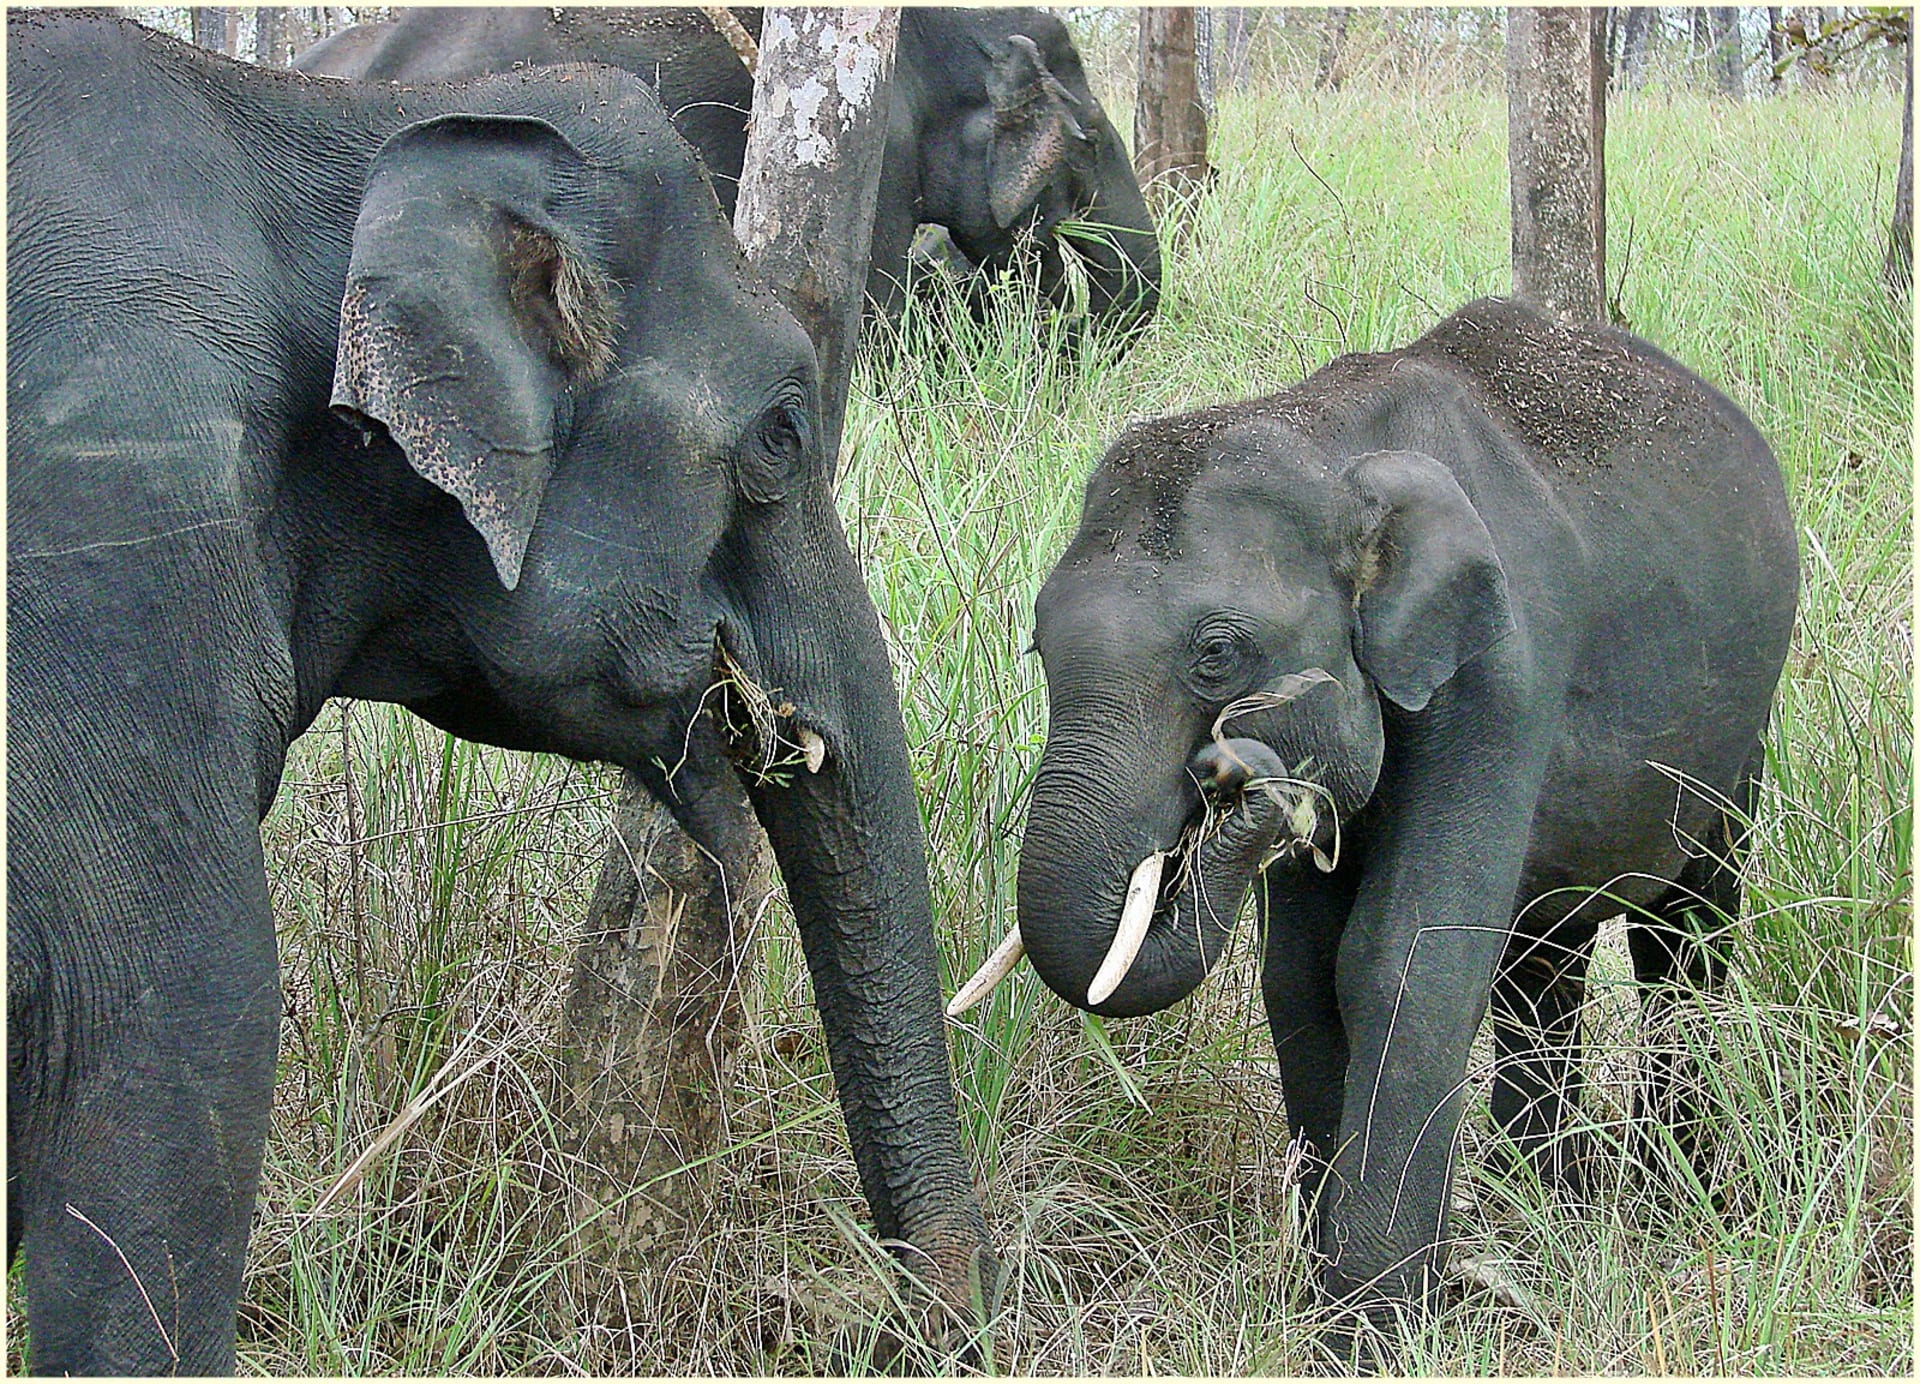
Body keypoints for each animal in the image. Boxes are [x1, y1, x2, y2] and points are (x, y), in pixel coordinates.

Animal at [957, 298, 1799, 1333]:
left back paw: (1675, 1194)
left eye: (1217, 654)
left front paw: (1372, 1323)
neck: (1328, 440)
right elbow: (1301, 975)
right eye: (1038, 642)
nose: (1237, 773)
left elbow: (1401, 961)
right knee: (1541, 961)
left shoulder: (1502, 670)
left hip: (1743, 728)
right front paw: (1327, 1304)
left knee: (1685, 932)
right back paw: (1550, 1206)